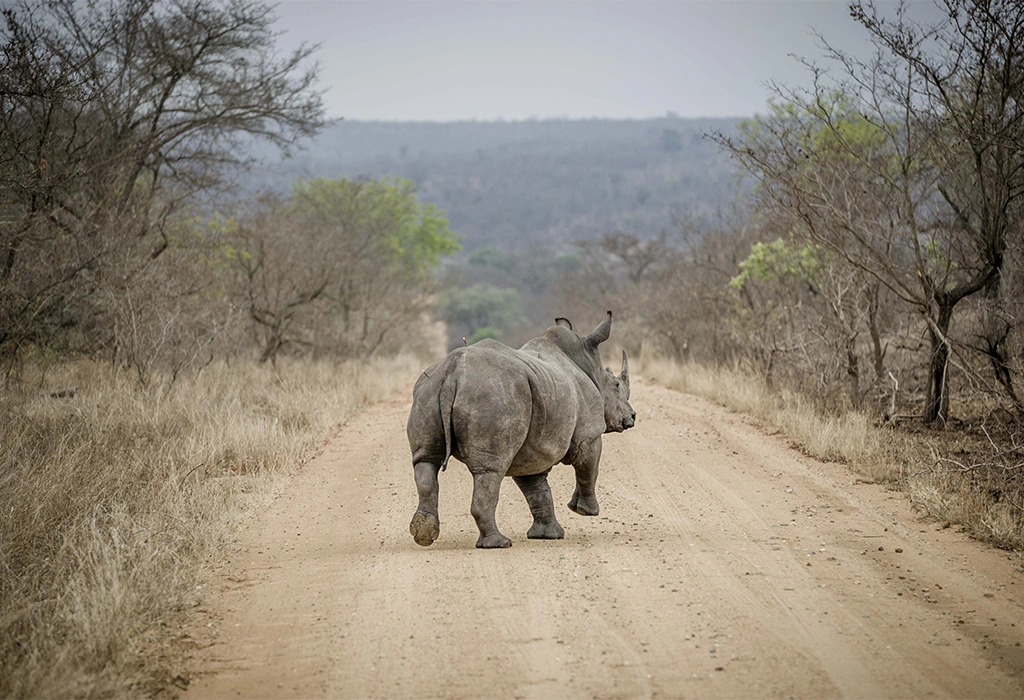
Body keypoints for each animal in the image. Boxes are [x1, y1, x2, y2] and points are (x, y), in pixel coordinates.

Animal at [407, 311, 635, 549]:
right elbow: (589, 466)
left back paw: (423, 533)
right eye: (616, 385)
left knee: (426, 461)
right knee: (490, 470)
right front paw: (585, 511)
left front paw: (548, 535)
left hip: (429, 390)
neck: (589, 365)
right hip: (494, 395)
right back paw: (499, 543)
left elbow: (536, 489)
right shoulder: (589, 433)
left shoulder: (531, 449)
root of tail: (453, 372)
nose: (632, 417)